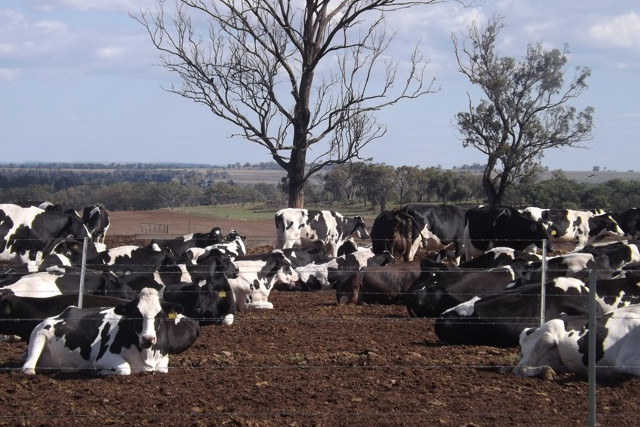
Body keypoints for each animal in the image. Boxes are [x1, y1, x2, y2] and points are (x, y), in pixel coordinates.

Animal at [21, 290, 200, 376]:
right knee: (28, 368)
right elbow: (125, 369)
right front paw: (100, 371)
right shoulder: (104, 357)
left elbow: (162, 369)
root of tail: (65, 312)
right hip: (39, 335)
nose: (148, 338)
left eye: (159, 315)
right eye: (135, 314)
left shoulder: (162, 362)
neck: (146, 354)